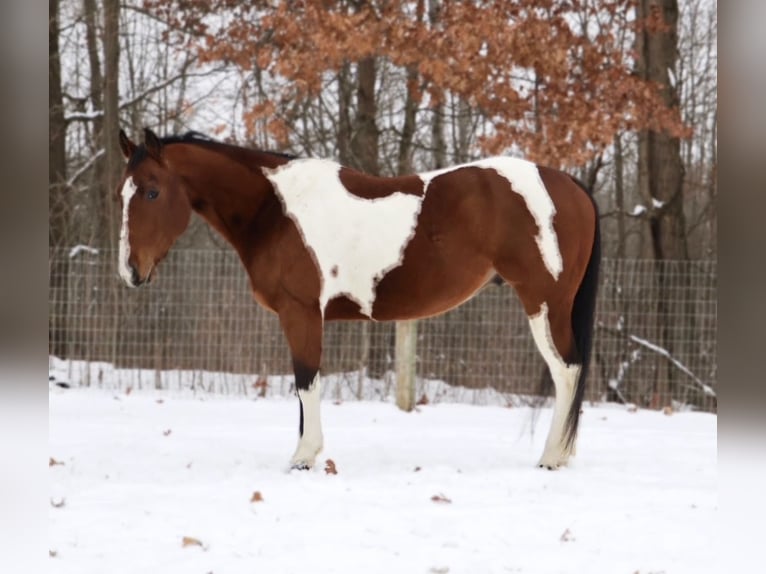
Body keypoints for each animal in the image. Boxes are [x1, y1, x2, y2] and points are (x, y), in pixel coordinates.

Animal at [116, 128, 600, 471]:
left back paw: (552, 457)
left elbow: (306, 380)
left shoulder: (301, 313)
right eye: (123, 193)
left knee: (567, 371)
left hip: (545, 306)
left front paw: (304, 457)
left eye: (152, 191)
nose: (130, 272)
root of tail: (568, 184)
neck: (274, 211)